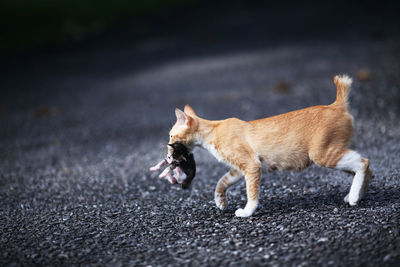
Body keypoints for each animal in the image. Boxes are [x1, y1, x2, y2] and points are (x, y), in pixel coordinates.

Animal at [166, 75, 372, 218]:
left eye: (170, 137)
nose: (168, 156)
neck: (213, 130)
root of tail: (336, 105)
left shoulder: (251, 165)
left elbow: (251, 192)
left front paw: (247, 212)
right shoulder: (239, 169)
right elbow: (221, 182)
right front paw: (220, 202)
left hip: (322, 154)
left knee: (363, 162)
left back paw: (354, 197)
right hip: (337, 153)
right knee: (367, 168)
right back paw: (356, 195)